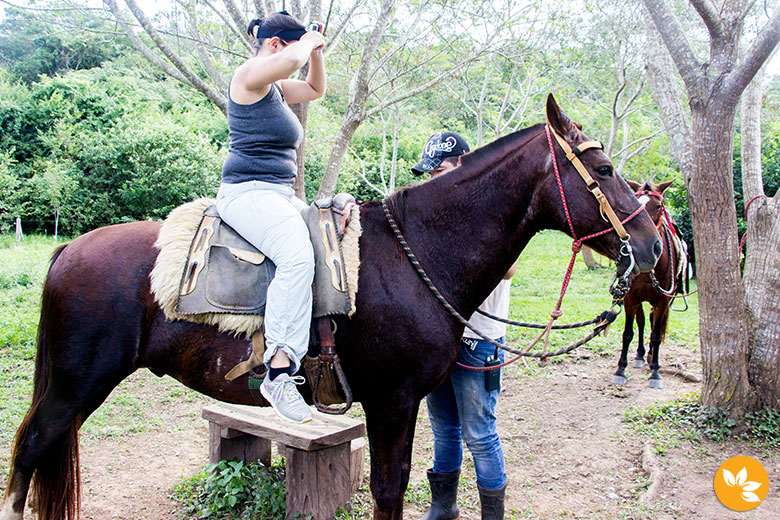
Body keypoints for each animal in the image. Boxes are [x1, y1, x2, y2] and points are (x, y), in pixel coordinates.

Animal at [1, 94, 664, 520]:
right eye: (604, 168)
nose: (653, 245)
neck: (418, 251)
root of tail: (68, 249)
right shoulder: (392, 401)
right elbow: (388, 490)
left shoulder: (405, 403)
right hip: (77, 383)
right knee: (31, 447)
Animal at [608, 181, 684, 388]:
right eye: (636, 199)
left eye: (658, 206)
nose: (644, 244)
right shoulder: (630, 298)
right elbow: (628, 333)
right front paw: (621, 369)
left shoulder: (664, 300)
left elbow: (656, 336)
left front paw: (655, 372)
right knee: (642, 322)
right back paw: (641, 355)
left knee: (653, 322)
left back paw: (650, 357)